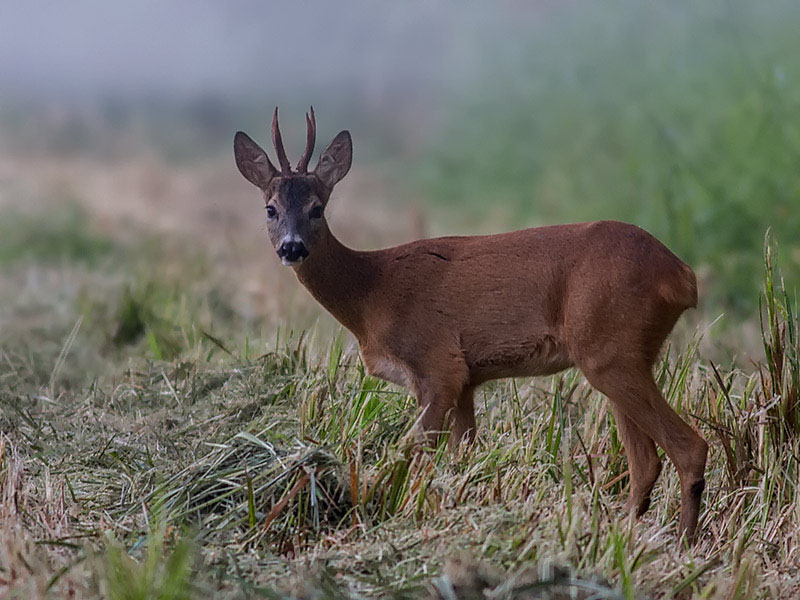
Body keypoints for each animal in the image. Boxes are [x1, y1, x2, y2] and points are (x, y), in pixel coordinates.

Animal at [234, 109, 708, 544]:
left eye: (317, 209)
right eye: (270, 209)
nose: (291, 247)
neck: (372, 294)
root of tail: (681, 275)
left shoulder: (437, 364)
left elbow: (409, 450)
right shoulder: (466, 378)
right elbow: (461, 455)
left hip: (609, 348)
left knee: (688, 448)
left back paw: (683, 545)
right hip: (621, 354)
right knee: (645, 460)